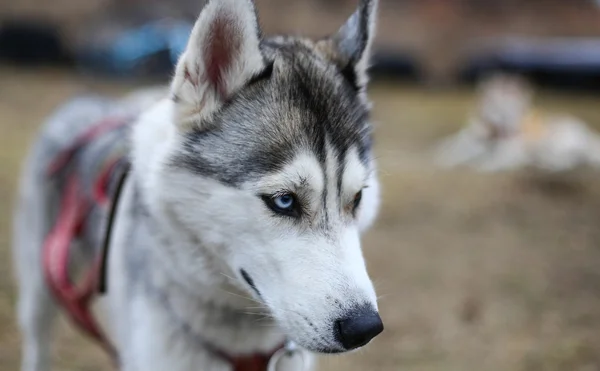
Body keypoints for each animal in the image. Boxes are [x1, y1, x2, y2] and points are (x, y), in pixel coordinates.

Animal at [434, 73, 600, 173]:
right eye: (495, 109)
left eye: (509, 111)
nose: (506, 125)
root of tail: (589, 133)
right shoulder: (468, 143)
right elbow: (448, 151)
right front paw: (439, 159)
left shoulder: (506, 152)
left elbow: (487, 162)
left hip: (550, 143)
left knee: (568, 160)